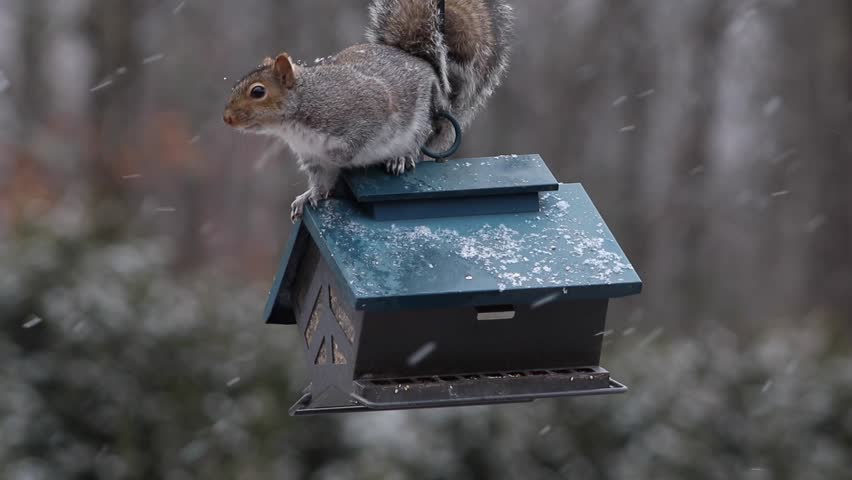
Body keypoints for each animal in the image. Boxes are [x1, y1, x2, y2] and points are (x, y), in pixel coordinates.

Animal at [223, 0, 514, 221]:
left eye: (258, 92)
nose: (226, 118)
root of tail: (424, 64)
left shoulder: (368, 107)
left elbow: (357, 140)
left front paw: (343, 156)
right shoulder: (312, 158)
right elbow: (319, 180)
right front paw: (309, 196)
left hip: (420, 118)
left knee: (419, 138)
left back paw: (402, 157)